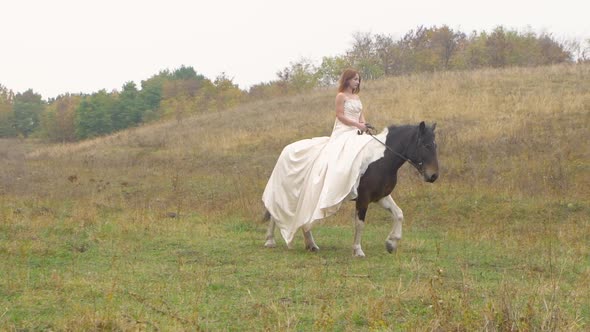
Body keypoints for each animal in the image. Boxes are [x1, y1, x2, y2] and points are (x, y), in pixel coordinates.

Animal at [264, 121, 440, 256]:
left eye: (435, 145)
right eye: (425, 145)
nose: (433, 176)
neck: (381, 160)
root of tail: (287, 149)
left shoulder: (380, 196)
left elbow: (399, 214)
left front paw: (391, 243)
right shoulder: (363, 198)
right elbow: (360, 224)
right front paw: (358, 250)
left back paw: (311, 245)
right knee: (275, 213)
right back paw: (270, 241)